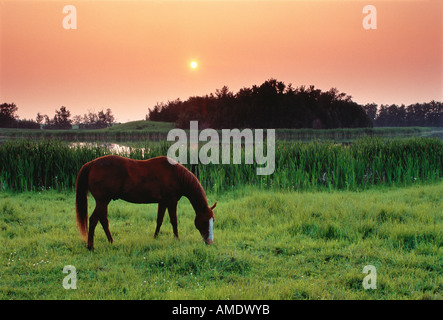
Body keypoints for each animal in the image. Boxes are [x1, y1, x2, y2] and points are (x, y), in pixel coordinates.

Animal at [75, 155, 217, 250]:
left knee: (103, 220)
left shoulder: (163, 202)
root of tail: (92, 164)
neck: (176, 175)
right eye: (205, 221)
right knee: (94, 220)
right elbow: (174, 221)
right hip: (102, 201)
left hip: (104, 202)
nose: (210, 242)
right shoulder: (171, 201)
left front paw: (155, 237)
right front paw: (177, 239)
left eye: (213, 221)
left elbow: (160, 220)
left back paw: (110, 241)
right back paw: (90, 246)